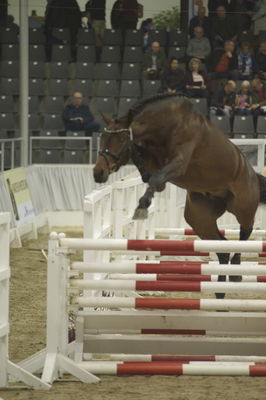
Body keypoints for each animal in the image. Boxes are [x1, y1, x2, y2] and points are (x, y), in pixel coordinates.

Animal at [93, 95, 266, 298]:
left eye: (120, 139)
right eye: (103, 138)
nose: (98, 173)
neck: (167, 126)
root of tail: (253, 175)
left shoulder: (179, 163)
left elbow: (154, 177)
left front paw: (142, 207)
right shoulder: (154, 162)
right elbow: (148, 172)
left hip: (243, 207)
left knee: (244, 232)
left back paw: (237, 272)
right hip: (200, 219)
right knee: (223, 249)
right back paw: (220, 294)